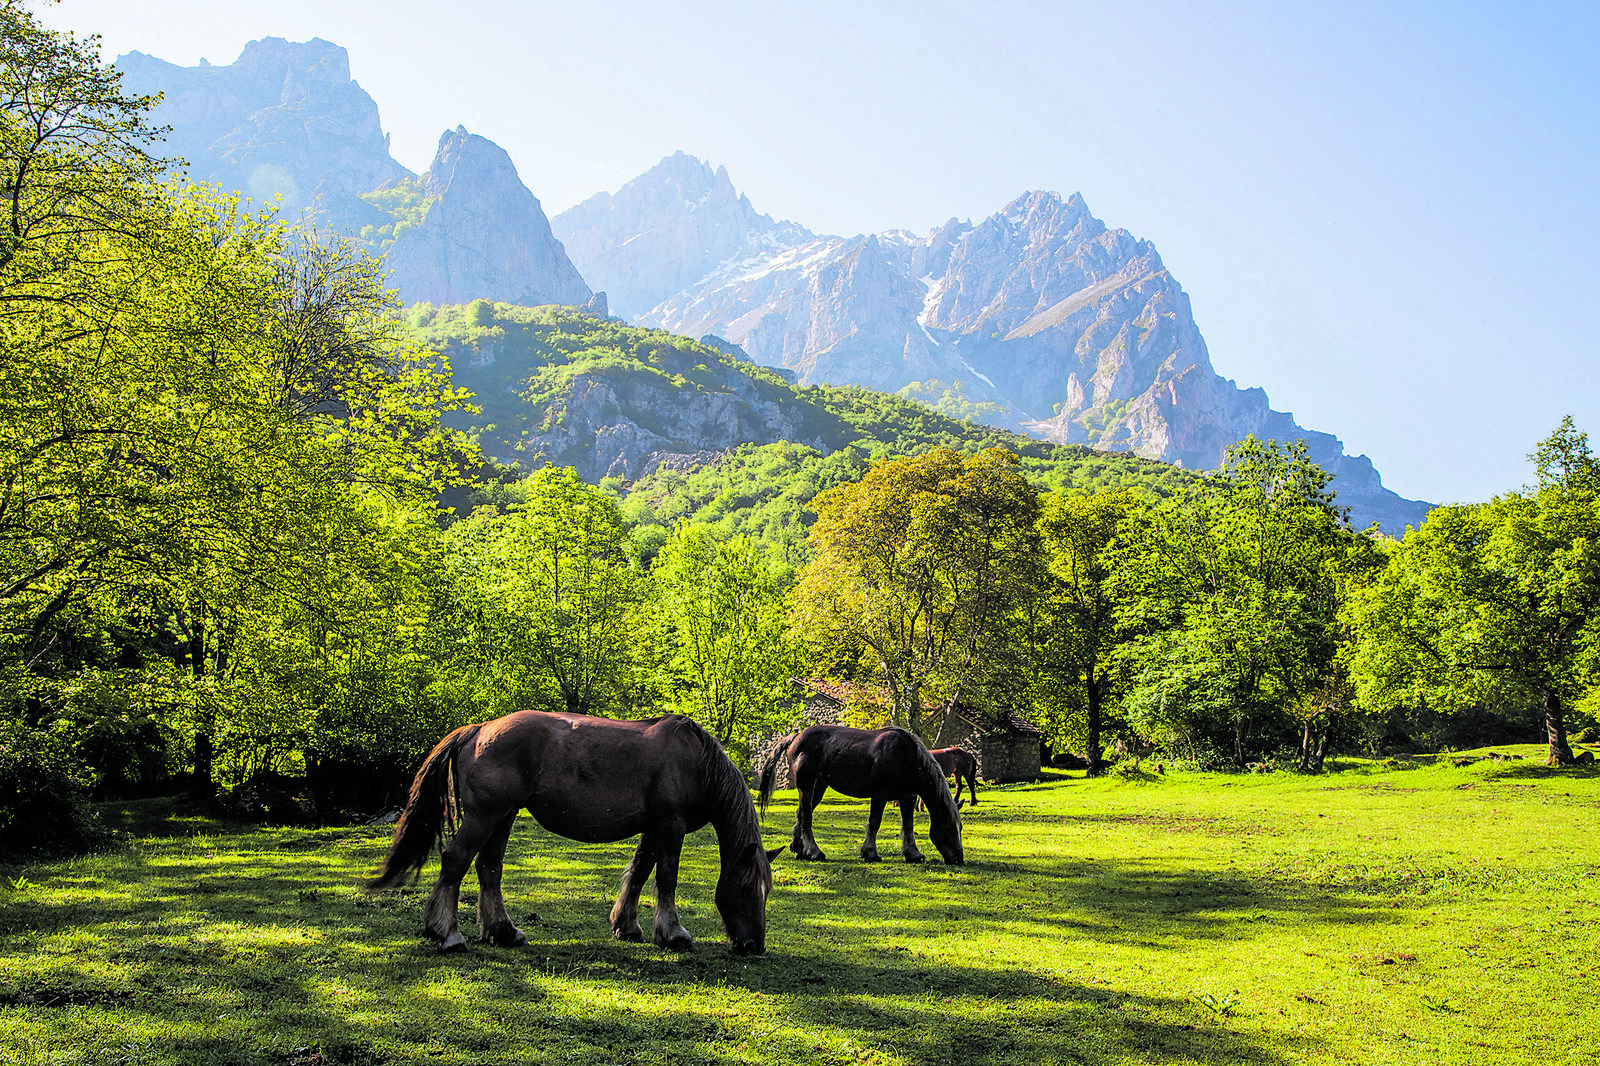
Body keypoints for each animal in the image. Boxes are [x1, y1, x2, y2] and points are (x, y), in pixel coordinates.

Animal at [368, 710, 780, 947]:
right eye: (747, 888)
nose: (755, 945)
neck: (696, 761)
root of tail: (479, 729)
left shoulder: (654, 826)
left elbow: (640, 872)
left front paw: (627, 925)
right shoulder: (670, 825)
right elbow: (666, 877)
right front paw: (673, 933)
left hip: (503, 816)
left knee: (489, 868)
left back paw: (503, 931)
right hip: (486, 815)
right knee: (456, 860)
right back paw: (448, 933)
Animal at [758, 723, 966, 864]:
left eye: (960, 828)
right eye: (949, 827)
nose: (958, 859)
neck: (906, 756)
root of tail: (796, 736)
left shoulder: (907, 797)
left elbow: (908, 825)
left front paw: (913, 854)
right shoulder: (879, 795)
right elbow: (874, 823)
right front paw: (870, 852)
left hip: (819, 787)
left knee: (802, 815)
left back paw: (800, 849)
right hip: (807, 785)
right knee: (805, 816)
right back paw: (815, 852)